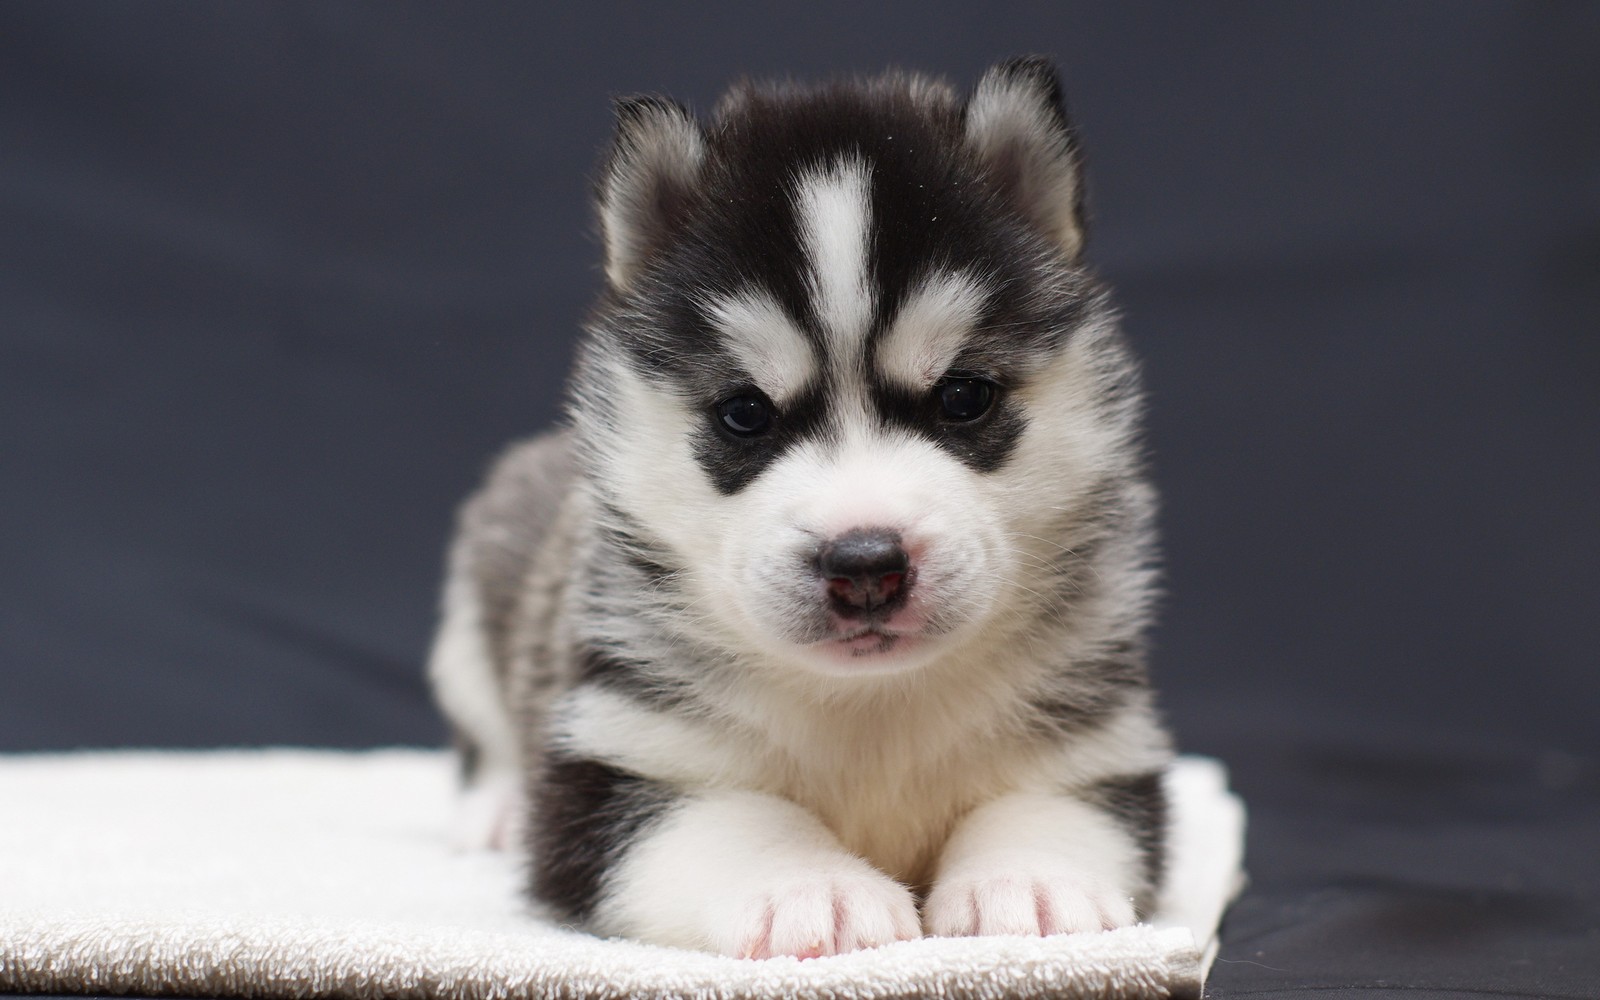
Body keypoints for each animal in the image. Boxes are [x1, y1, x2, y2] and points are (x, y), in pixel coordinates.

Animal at [432, 56, 1171, 960]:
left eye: (964, 397)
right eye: (745, 413)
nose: (865, 564)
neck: (871, 708)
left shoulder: (1098, 737)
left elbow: (1048, 803)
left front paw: (1029, 880)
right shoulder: (613, 761)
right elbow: (730, 819)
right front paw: (812, 886)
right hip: (473, 622)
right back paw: (496, 806)